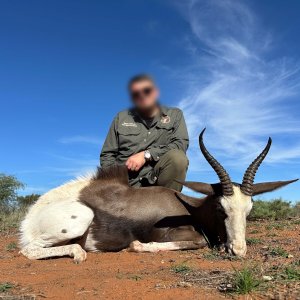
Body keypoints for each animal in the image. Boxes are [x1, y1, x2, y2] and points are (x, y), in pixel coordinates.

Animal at [19, 129, 298, 262]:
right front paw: (136, 246)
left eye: (249, 210)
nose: (238, 250)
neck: (191, 210)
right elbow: (199, 241)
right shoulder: (177, 235)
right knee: (26, 250)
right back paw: (79, 254)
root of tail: (30, 219)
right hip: (79, 221)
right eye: (221, 209)